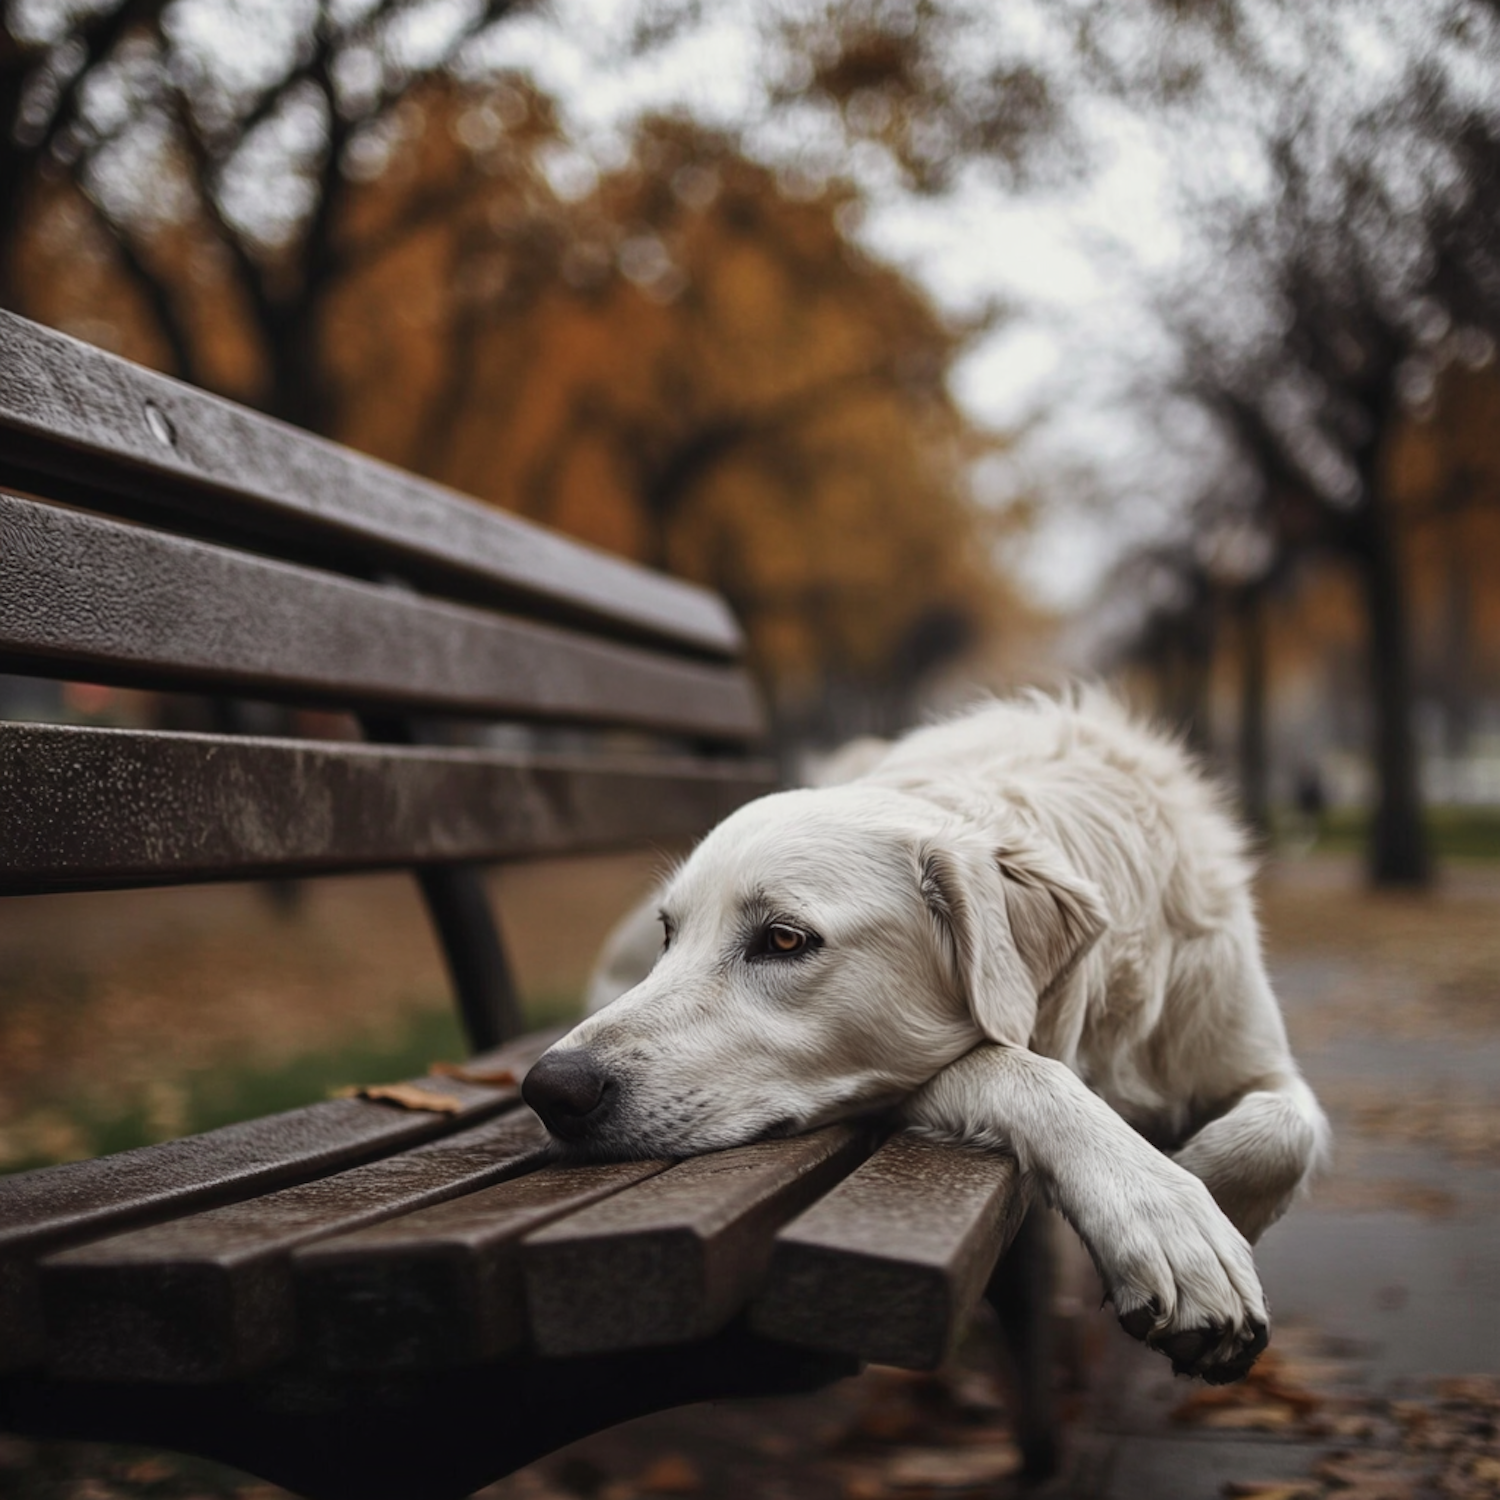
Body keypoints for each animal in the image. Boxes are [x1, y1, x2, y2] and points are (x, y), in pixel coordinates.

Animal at [525, 690, 1326, 1380]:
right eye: (673, 934)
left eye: (783, 939)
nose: (549, 1088)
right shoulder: (908, 1079)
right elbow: (1026, 1069)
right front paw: (1173, 1217)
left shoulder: (1256, 1058)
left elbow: (1285, 1131)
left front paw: (1209, 1193)